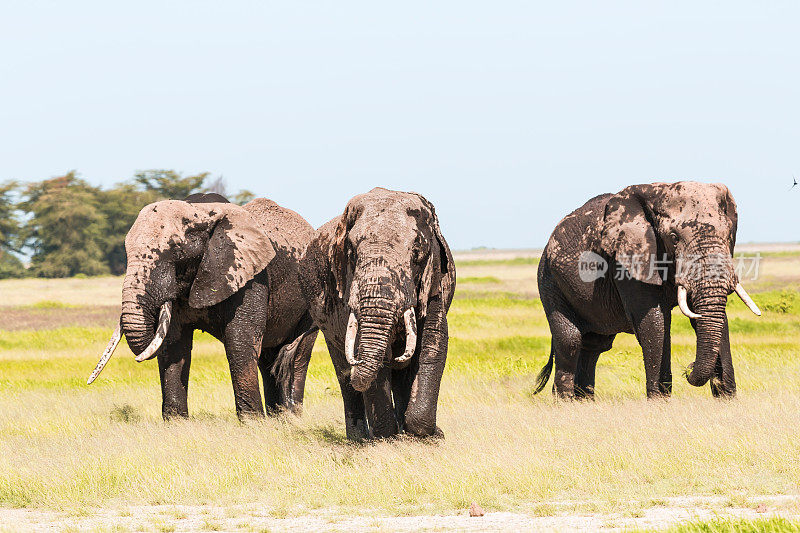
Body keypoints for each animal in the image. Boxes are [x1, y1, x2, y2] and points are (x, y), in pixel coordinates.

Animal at [84, 193, 316, 418]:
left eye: (177, 251)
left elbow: (240, 339)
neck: (201, 210)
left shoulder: (250, 276)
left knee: (296, 358)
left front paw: (252, 422)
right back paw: (278, 417)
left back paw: (291, 416)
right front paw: (176, 422)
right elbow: (174, 344)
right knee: (268, 358)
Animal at [298, 189, 456, 438]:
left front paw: (428, 435)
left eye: (416, 253)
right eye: (352, 253)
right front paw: (387, 438)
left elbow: (434, 342)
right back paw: (361, 439)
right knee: (343, 373)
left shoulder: (435, 280)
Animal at [536, 182, 760, 400]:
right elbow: (654, 322)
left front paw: (726, 400)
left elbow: (710, 318)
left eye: (729, 235)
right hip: (549, 281)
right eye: (673, 238)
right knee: (571, 341)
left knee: (595, 345)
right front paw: (659, 401)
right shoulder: (626, 259)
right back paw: (565, 402)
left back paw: (584, 402)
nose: (688, 368)